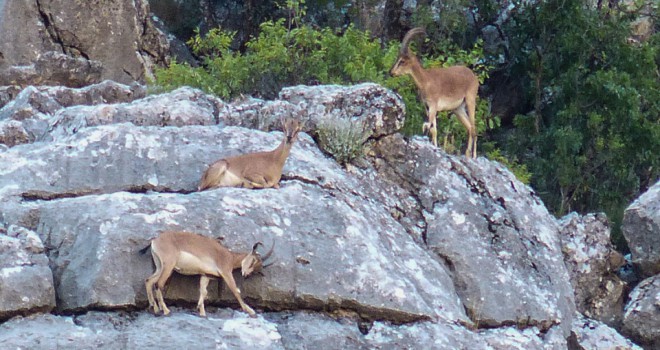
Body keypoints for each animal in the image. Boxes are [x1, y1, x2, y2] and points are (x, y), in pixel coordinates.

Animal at [139, 231, 274, 318]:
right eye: (253, 261)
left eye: (257, 269)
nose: (246, 274)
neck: (229, 257)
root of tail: (155, 240)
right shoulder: (226, 272)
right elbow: (236, 291)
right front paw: (251, 311)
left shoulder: (206, 275)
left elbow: (203, 292)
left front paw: (202, 313)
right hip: (168, 266)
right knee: (159, 284)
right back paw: (166, 311)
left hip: (160, 266)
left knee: (149, 281)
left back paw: (155, 309)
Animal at [392, 27, 480, 159]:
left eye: (402, 61)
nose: (391, 72)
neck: (426, 80)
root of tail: (474, 77)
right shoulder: (427, 107)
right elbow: (434, 129)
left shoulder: (433, 106)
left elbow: (428, 126)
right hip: (458, 109)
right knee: (469, 127)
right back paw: (467, 154)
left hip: (470, 100)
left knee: (474, 128)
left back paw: (473, 156)